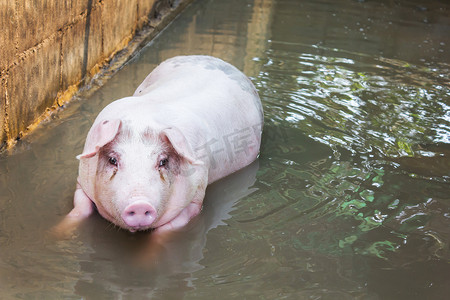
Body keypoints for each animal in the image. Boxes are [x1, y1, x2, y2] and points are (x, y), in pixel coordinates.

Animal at [60, 56, 264, 234]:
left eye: (163, 162)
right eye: (112, 160)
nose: (139, 205)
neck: (142, 119)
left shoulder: (196, 196)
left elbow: (164, 234)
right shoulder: (82, 178)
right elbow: (79, 209)